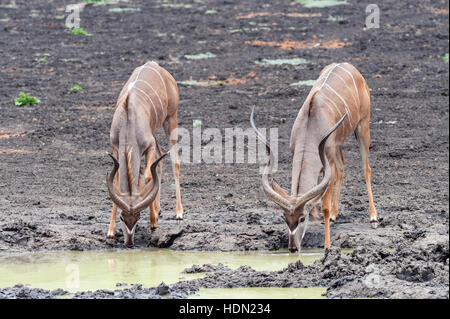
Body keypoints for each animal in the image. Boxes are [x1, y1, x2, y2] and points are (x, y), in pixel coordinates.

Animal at [105, 61, 183, 249]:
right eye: (122, 217)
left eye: (138, 216)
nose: (129, 242)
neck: (128, 119)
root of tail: (154, 64)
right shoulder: (115, 148)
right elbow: (116, 181)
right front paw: (110, 231)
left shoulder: (148, 146)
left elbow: (148, 176)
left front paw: (153, 222)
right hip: (156, 131)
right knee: (161, 159)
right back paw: (160, 208)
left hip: (171, 119)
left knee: (175, 162)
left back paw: (178, 212)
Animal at [251, 62, 378, 252]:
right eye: (284, 218)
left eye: (302, 218)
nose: (293, 248)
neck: (310, 125)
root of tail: (349, 66)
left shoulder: (327, 159)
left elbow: (324, 204)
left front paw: (327, 246)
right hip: (338, 144)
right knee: (342, 166)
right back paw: (335, 215)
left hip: (363, 126)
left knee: (365, 169)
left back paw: (373, 217)